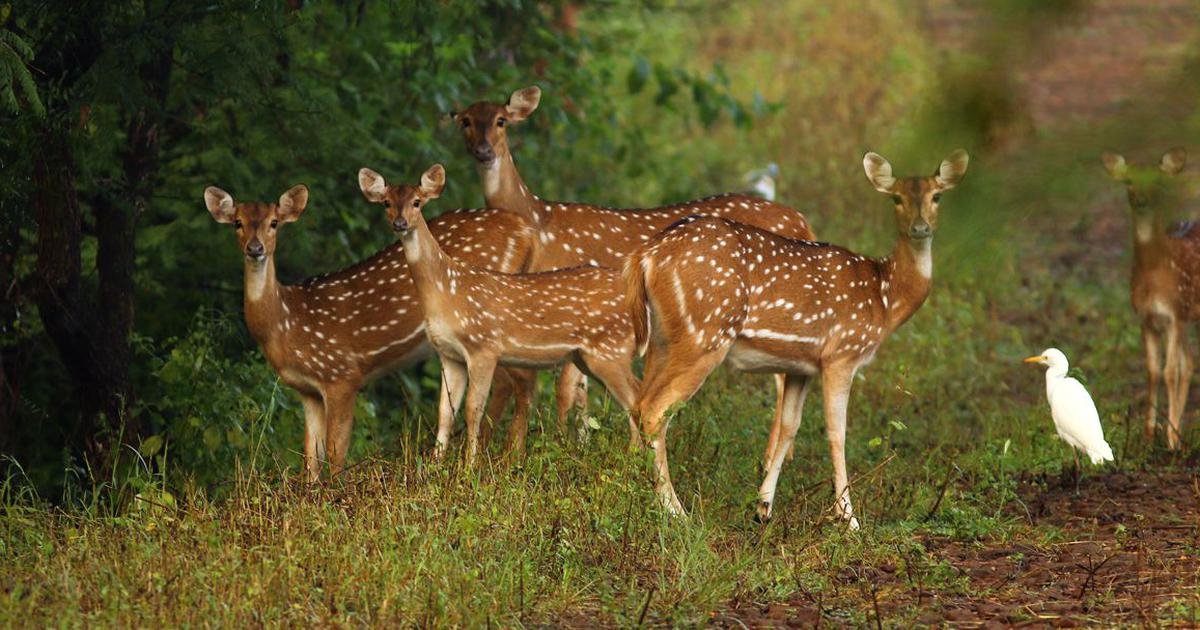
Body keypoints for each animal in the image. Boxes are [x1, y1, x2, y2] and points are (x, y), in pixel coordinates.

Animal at [205, 180, 556, 477]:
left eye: (274, 222)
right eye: (237, 222)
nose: (255, 249)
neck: (286, 324)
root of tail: (527, 231)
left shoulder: (341, 375)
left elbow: (336, 452)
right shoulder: (307, 390)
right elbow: (310, 458)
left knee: (518, 380)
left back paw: (507, 458)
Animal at [381, 164, 648, 463]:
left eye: (417, 202)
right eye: (386, 202)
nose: (400, 223)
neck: (447, 291)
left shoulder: (483, 347)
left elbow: (473, 408)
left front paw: (469, 465)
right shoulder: (448, 354)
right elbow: (445, 411)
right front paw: (435, 464)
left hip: (610, 351)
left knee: (638, 397)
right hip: (588, 357)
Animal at [453, 84, 820, 446]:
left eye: (501, 120)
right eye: (466, 121)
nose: (484, 151)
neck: (539, 223)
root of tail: (803, 222)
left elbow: (564, 389)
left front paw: (559, 445)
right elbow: (579, 390)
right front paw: (580, 443)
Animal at [624, 148, 969, 525]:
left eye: (937, 196)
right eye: (896, 198)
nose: (920, 228)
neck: (884, 298)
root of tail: (646, 257)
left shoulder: (800, 366)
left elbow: (790, 426)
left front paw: (763, 507)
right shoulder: (842, 353)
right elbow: (837, 432)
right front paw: (849, 518)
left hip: (661, 339)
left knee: (638, 404)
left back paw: (630, 491)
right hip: (705, 333)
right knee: (655, 411)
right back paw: (676, 511)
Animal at [1099, 148, 1195, 448]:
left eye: (1157, 180)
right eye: (1128, 179)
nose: (1140, 199)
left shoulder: (1174, 314)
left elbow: (1170, 371)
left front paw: (1171, 439)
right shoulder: (1146, 318)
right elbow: (1153, 371)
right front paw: (1149, 434)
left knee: (1185, 364)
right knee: (1190, 361)